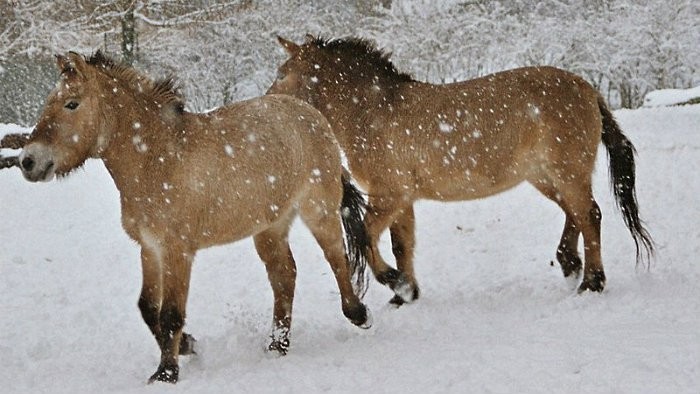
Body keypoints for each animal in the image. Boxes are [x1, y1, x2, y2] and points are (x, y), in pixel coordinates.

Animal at [17, 50, 372, 384]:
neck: (156, 158)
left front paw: (166, 372)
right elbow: (148, 309)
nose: (28, 161)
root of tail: (312, 115)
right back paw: (277, 345)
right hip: (270, 227)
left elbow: (171, 313)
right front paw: (187, 345)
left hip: (318, 210)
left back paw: (358, 314)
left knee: (336, 257)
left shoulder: (178, 250)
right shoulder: (150, 248)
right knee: (285, 275)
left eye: (71, 104)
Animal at [270, 36, 652, 302]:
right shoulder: (402, 199)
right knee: (576, 213)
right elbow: (401, 245)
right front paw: (405, 294)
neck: (374, 111)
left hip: (566, 172)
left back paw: (592, 282)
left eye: (283, 74)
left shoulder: (388, 195)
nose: (269, 101)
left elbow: (366, 236)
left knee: (589, 215)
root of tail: (587, 88)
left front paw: (396, 284)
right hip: (546, 176)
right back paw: (570, 264)